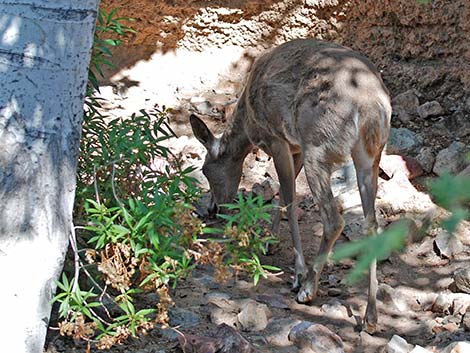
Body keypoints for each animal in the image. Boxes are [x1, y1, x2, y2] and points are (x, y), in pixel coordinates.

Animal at [189, 39, 392, 332]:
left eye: (205, 170)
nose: (213, 209)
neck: (248, 124)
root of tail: (370, 107)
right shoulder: (293, 146)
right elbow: (282, 194)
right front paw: (269, 242)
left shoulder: (277, 138)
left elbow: (289, 198)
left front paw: (296, 273)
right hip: (370, 155)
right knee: (372, 223)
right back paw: (371, 317)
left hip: (318, 146)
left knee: (334, 219)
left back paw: (308, 289)